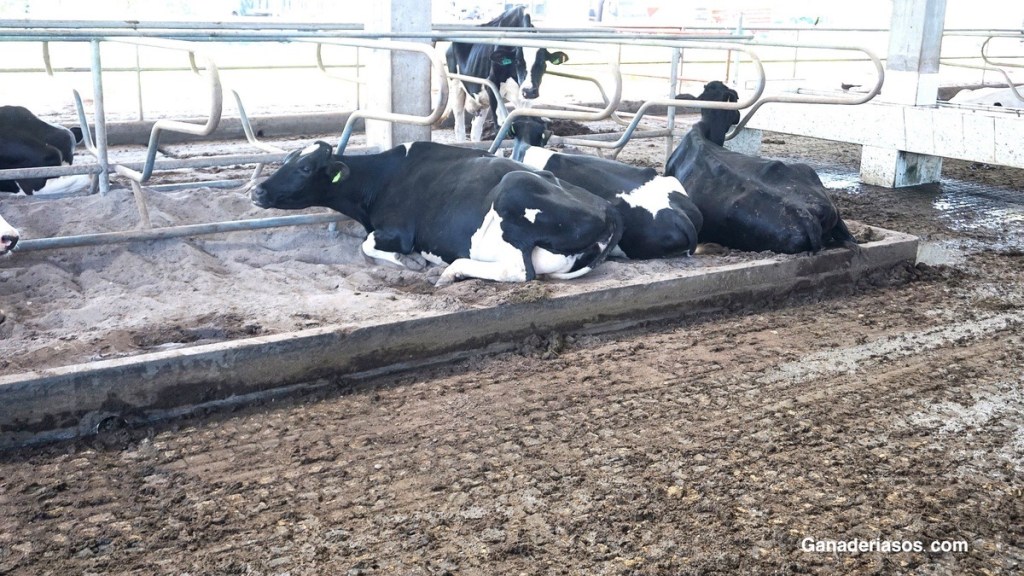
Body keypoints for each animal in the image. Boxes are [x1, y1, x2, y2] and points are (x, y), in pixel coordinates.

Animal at [250, 141, 623, 286]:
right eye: (287, 160)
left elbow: (367, 244)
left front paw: (411, 261)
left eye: (305, 167)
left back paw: (448, 272)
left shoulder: (398, 231)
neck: (383, 178)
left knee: (520, 271)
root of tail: (607, 210)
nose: (257, 191)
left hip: (514, 190)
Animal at [444, 6, 568, 142]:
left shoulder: (524, 99)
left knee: (475, 129)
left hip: (482, 101)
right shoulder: (492, 85)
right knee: (459, 125)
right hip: (456, 86)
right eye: (517, 61)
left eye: (542, 63)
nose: (529, 91)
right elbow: (500, 127)